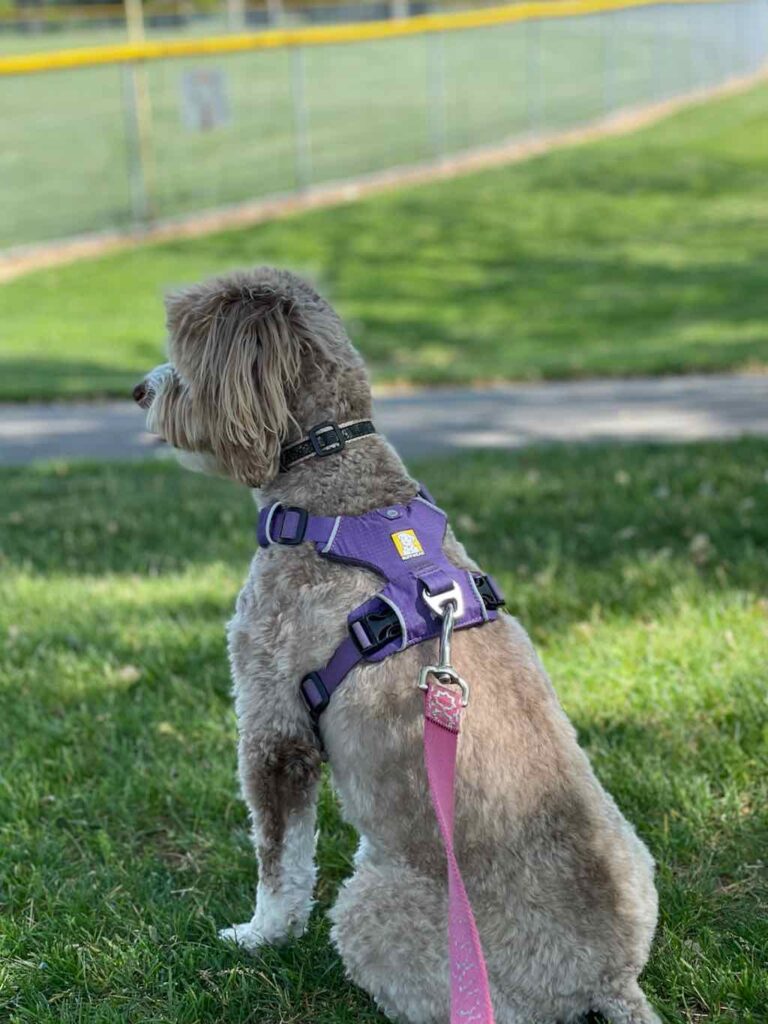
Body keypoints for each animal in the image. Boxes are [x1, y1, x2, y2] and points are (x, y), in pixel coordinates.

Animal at [134, 268, 663, 1019]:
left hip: (376, 906)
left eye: (182, 355)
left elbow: (279, 859)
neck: (337, 486)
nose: (139, 390)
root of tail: (609, 980)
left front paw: (259, 935)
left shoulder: (273, 721)